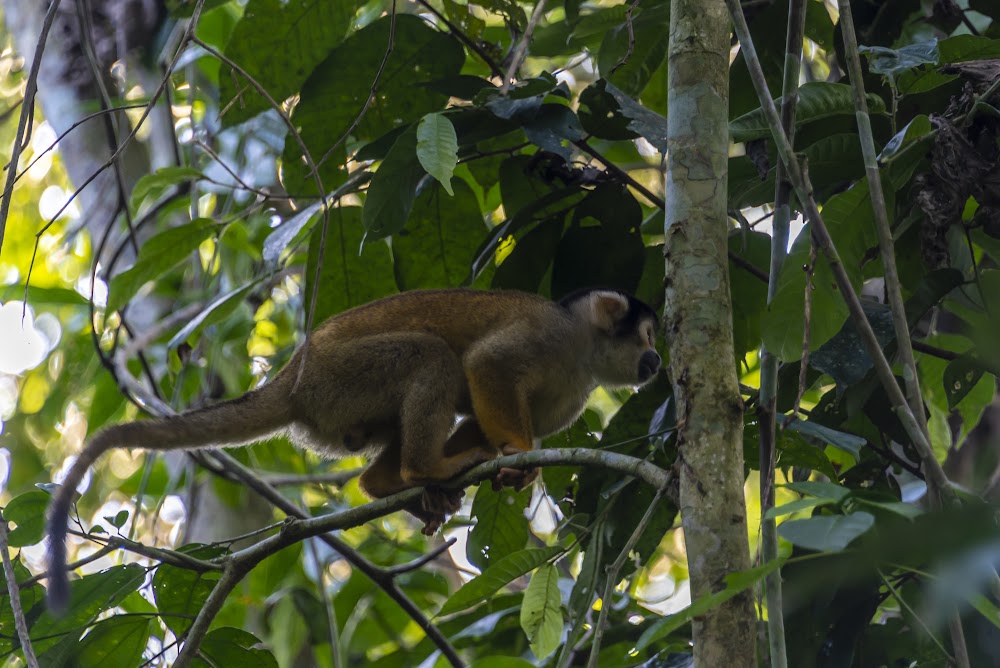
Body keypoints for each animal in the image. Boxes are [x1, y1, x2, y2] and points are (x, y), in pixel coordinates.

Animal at [48, 288, 664, 612]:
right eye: (648, 335)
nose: (658, 360)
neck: (580, 351)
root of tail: (293, 376)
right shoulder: (545, 336)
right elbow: (485, 364)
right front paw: (515, 447)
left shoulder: (571, 398)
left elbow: (477, 419)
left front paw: (500, 453)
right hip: (340, 378)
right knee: (431, 355)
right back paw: (421, 468)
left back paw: (391, 483)